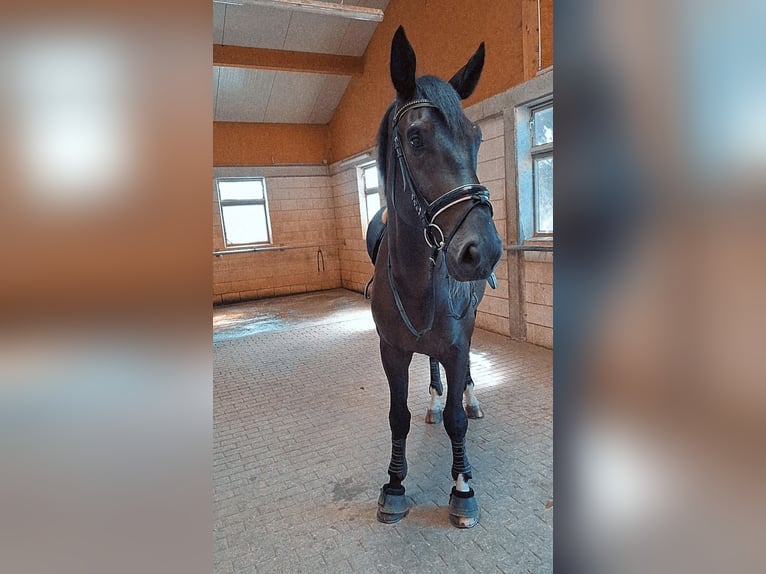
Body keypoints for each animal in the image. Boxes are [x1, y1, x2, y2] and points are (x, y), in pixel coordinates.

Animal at [372, 27, 504, 532]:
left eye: (477, 137)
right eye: (414, 137)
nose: (482, 250)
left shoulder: (456, 342)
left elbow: (455, 422)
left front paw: (462, 487)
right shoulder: (392, 350)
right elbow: (397, 416)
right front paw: (394, 485)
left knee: (462, 381)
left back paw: (470, 397)